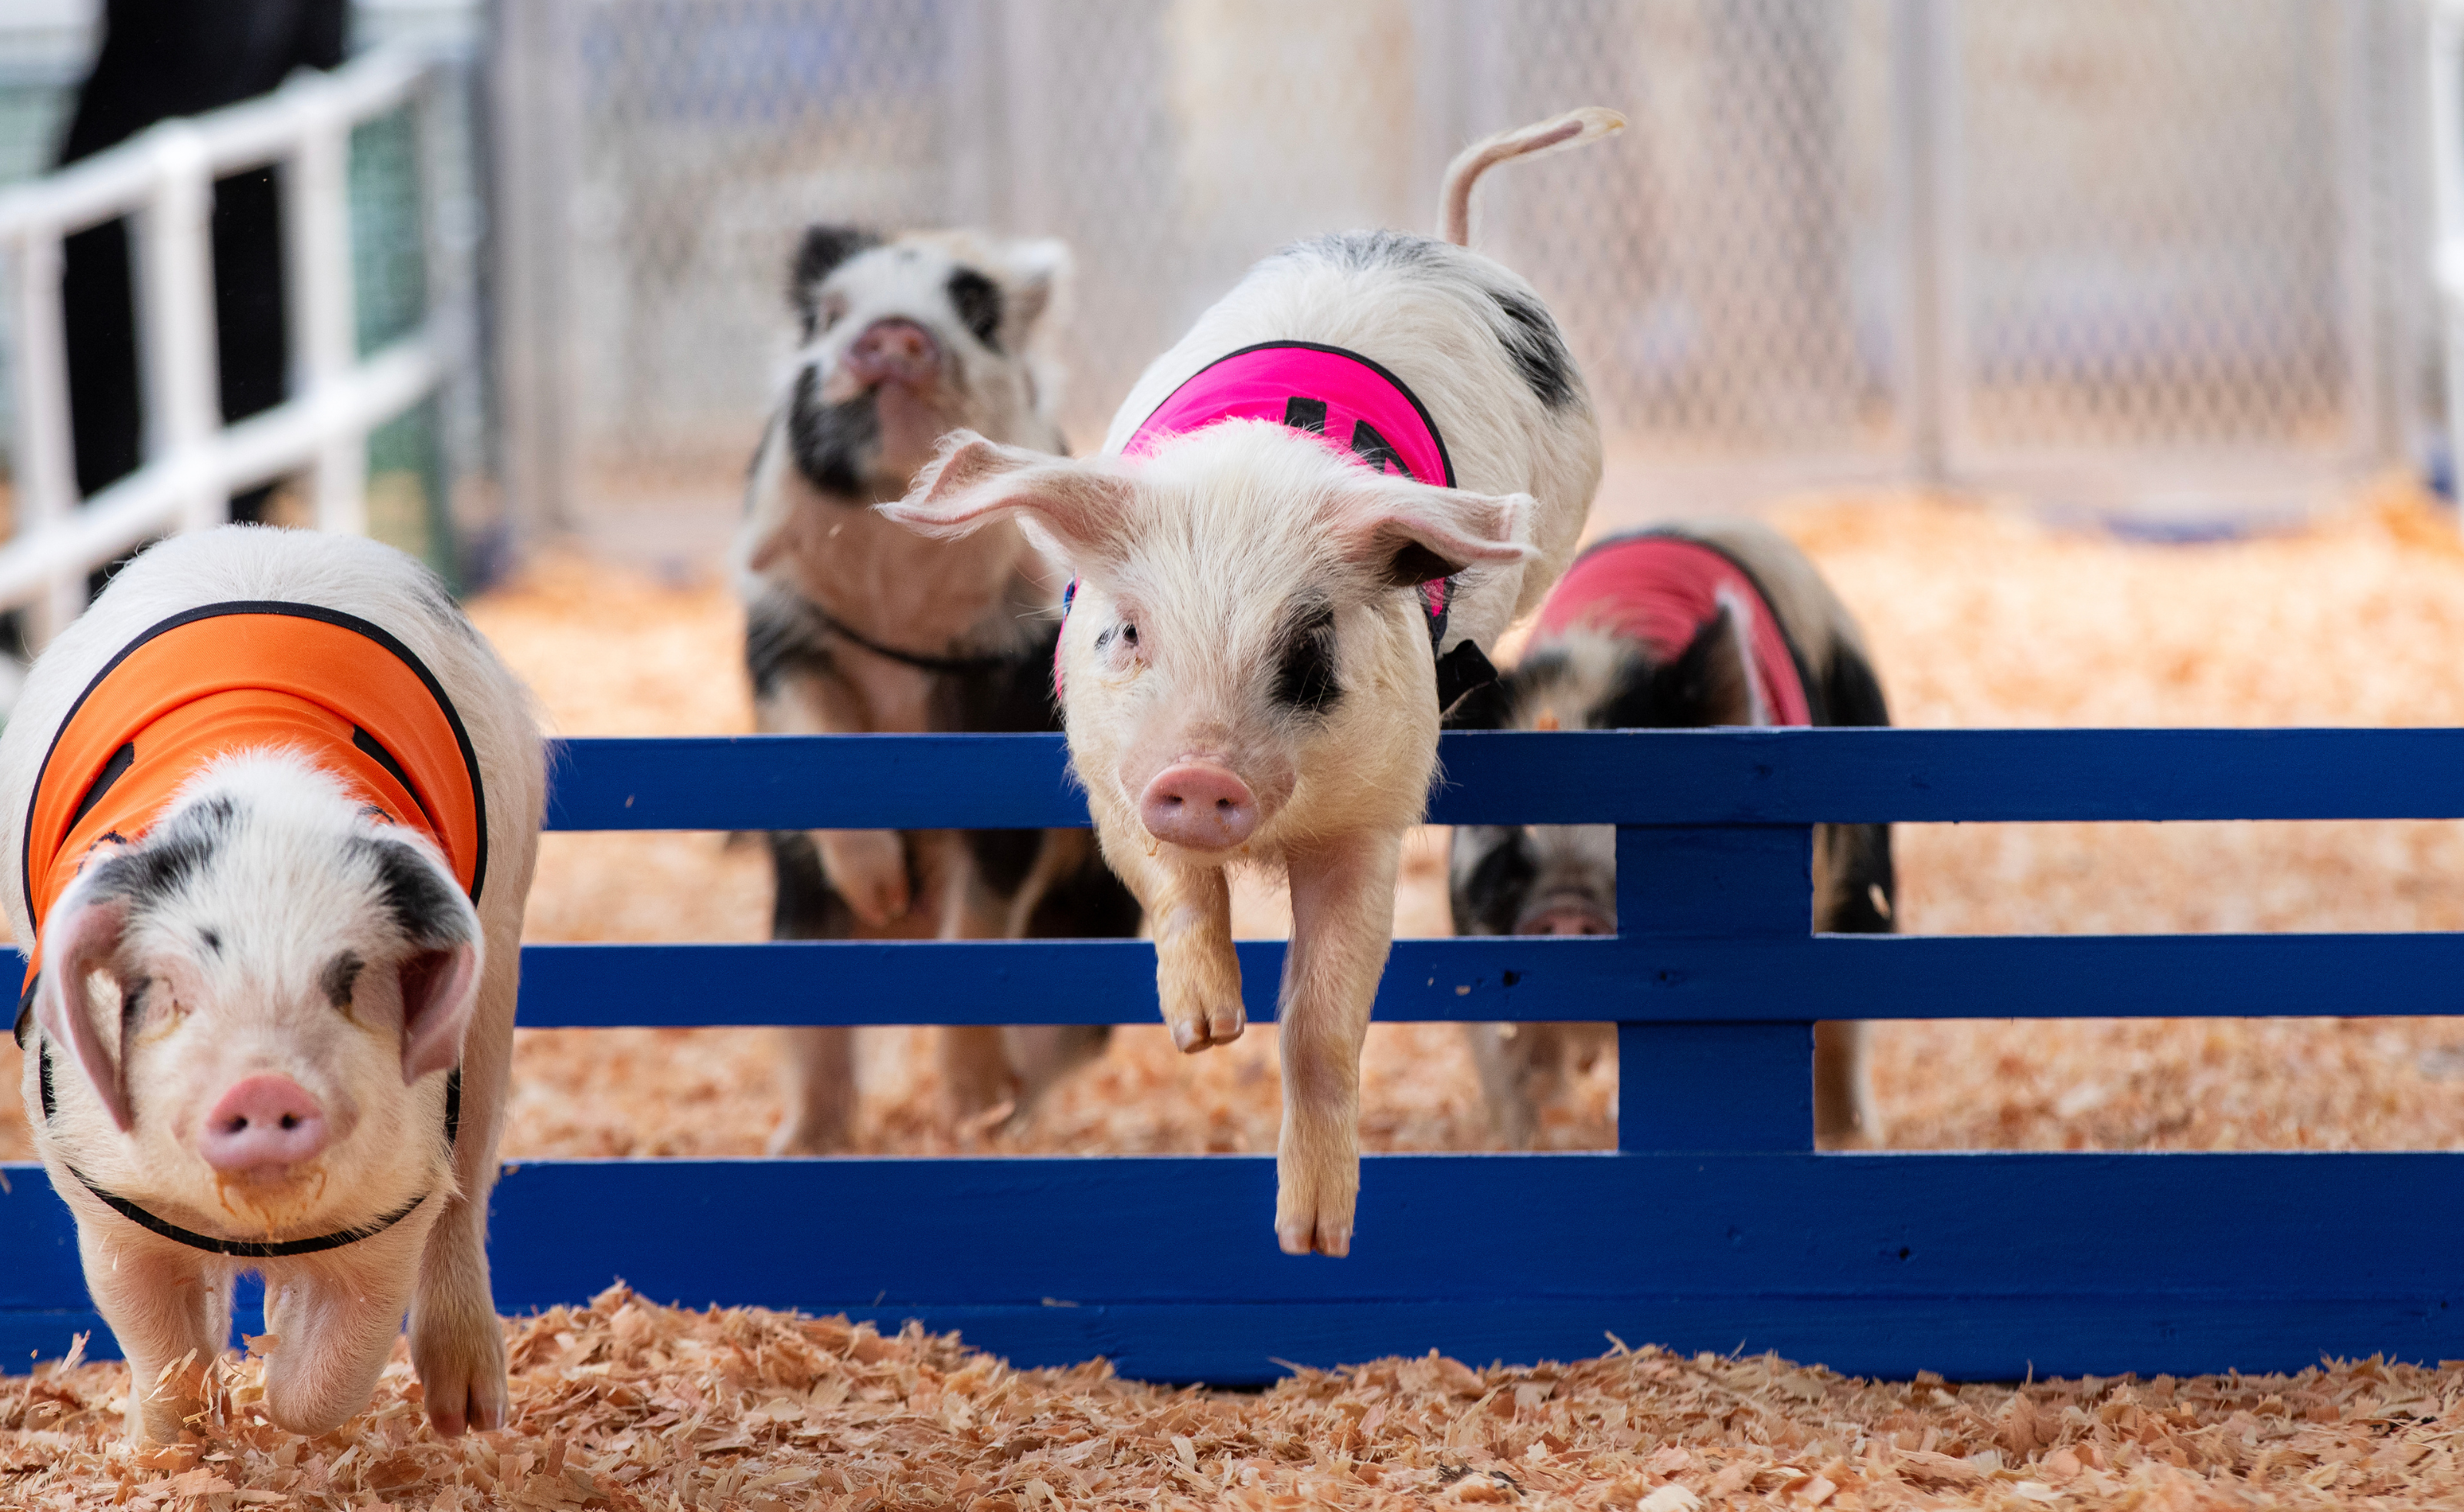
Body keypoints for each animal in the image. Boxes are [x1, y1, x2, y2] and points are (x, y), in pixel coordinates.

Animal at [1, 525, 543, 1442]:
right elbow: (155, 1341)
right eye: (170, 987)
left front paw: (278, 1392)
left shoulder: (398, 1194)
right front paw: (164, 1444)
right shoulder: (98, 1184)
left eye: (349, 981)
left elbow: (331, 1377)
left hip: (498, 957)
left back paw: (468, 1417)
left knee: (469, 1186)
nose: (262, 1083)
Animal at [737, 226, 1140, 1154]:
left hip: (1089, 922)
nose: (892, 331)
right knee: (819, 1049)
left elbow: (981, 918)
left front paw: (968, 1109)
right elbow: (816, 738)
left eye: (977, 314)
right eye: (829, 314)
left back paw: (989, 1123)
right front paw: (878, 888)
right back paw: (798, 1145)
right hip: (797, 927)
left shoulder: (1008, 705)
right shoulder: (786, 638)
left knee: (1055, 1053)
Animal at [885, 108, 1626, 1255]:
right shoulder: (1109, 767)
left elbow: (1322, 1017)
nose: (1201, 773)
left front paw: (1313, 1239)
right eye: (1128, 631)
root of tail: (1445, 241)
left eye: (1308, 650)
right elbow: (1171, 887)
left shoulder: (1376, 808)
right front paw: (1203, 1031)